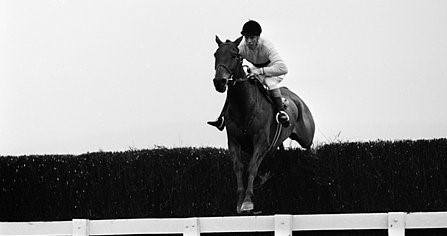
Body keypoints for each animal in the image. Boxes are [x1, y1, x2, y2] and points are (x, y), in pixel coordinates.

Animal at [213, 35, 316, 214]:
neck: (244, 106)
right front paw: (239, 202)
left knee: (309, 147)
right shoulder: (233, 141)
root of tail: (297, 99)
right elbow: (238, 167)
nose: (219, 81)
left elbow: (252, 166)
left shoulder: (261, 141)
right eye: (215, 55)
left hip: (306, 137)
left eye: (235, 55)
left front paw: (248, 201)